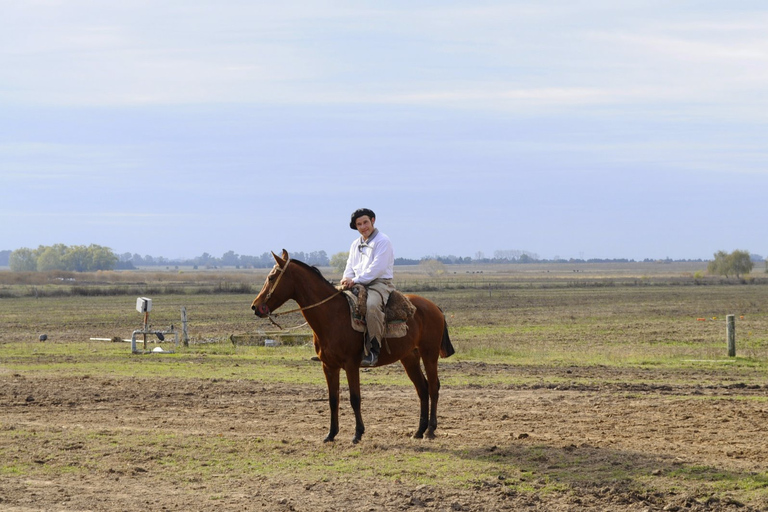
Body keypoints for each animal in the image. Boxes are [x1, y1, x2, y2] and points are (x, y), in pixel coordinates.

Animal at [252, 250, 456, 442]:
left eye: (271, 277)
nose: (256, 307)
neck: (332, 316)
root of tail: (434, 307)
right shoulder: (329, 366)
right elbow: (333, 399)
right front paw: (331, 434)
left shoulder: (351, 365)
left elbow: (355, 398)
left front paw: (357, 434)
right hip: (409, 357)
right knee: (422, 389)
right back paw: (419, 431)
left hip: (429, 354)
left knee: (433, 387)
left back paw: (430, 430)